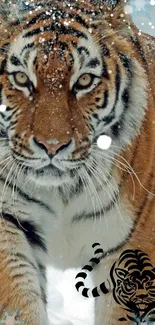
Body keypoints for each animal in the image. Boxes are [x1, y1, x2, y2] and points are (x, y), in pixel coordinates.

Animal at [0, 0, 154, 322]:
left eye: (84, 81)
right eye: (21, 78)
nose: (52, 146)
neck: (62, 193)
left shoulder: (135, 242)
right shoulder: (7, 219)